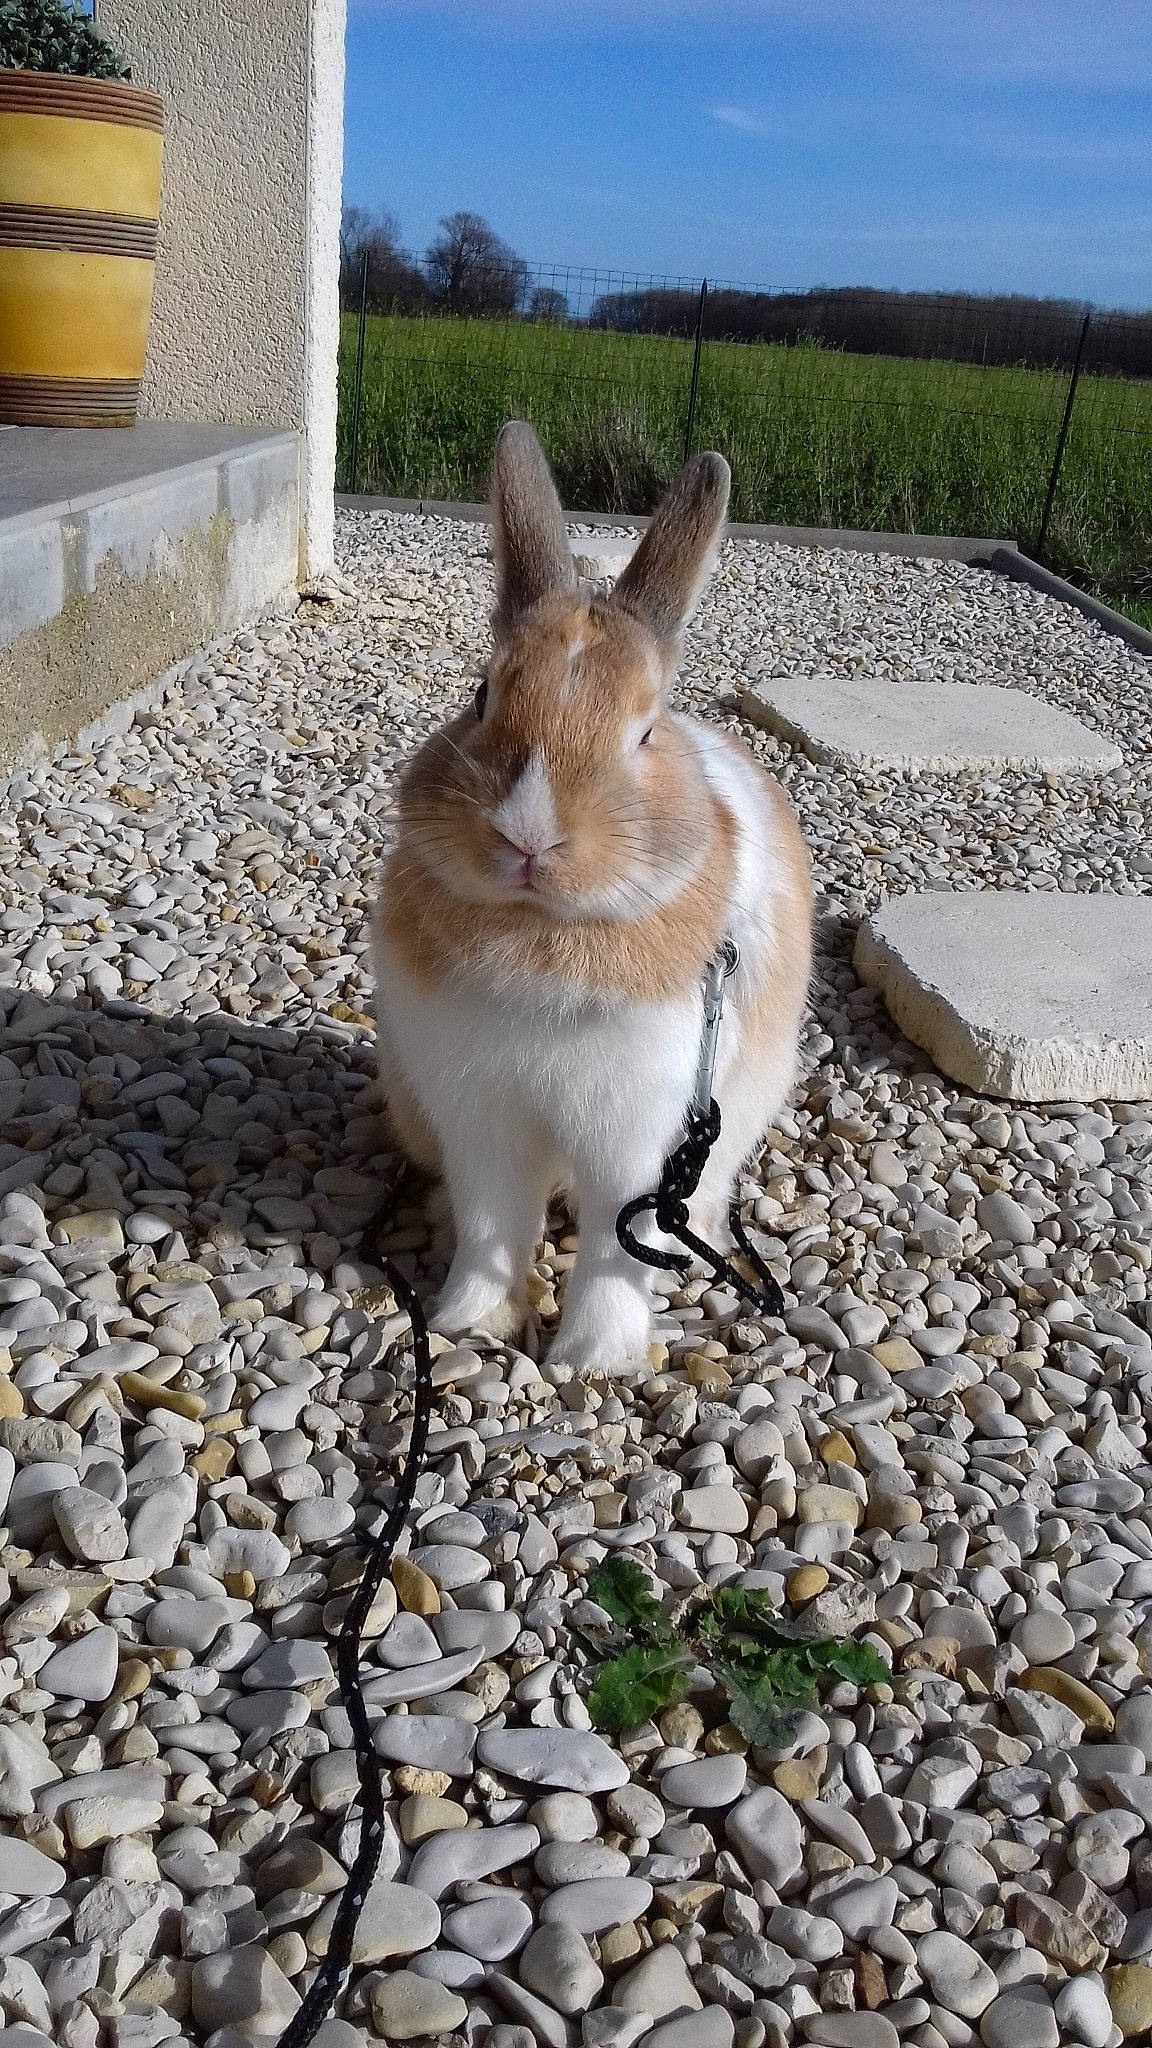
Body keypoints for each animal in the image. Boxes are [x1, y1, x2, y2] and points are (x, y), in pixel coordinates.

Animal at [374, 420, 812, 1380]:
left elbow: (618, 1244)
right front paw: (467, 1321)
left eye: (644, 732)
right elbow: (493, 1223)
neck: (543, 930)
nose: (528, 837)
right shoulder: (481, 1119)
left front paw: (592, 1360)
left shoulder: (641, 1137)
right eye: (481, 695)